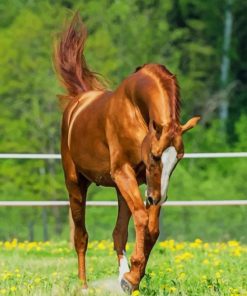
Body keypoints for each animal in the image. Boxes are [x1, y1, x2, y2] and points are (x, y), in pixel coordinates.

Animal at [53, 12, 199, 294]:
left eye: (178, 159)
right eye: (155, 155)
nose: (157, 198)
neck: (134, 108)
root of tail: (78, 100)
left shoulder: (142, 182)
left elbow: (151, 227)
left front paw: (131, 278)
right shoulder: (124, 173)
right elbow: (142, 219)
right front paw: (132, 277)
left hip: (121, 190)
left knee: (118, 233)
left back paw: (122, 276)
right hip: (75, 183)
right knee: (81, 236)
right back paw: (84, 285)